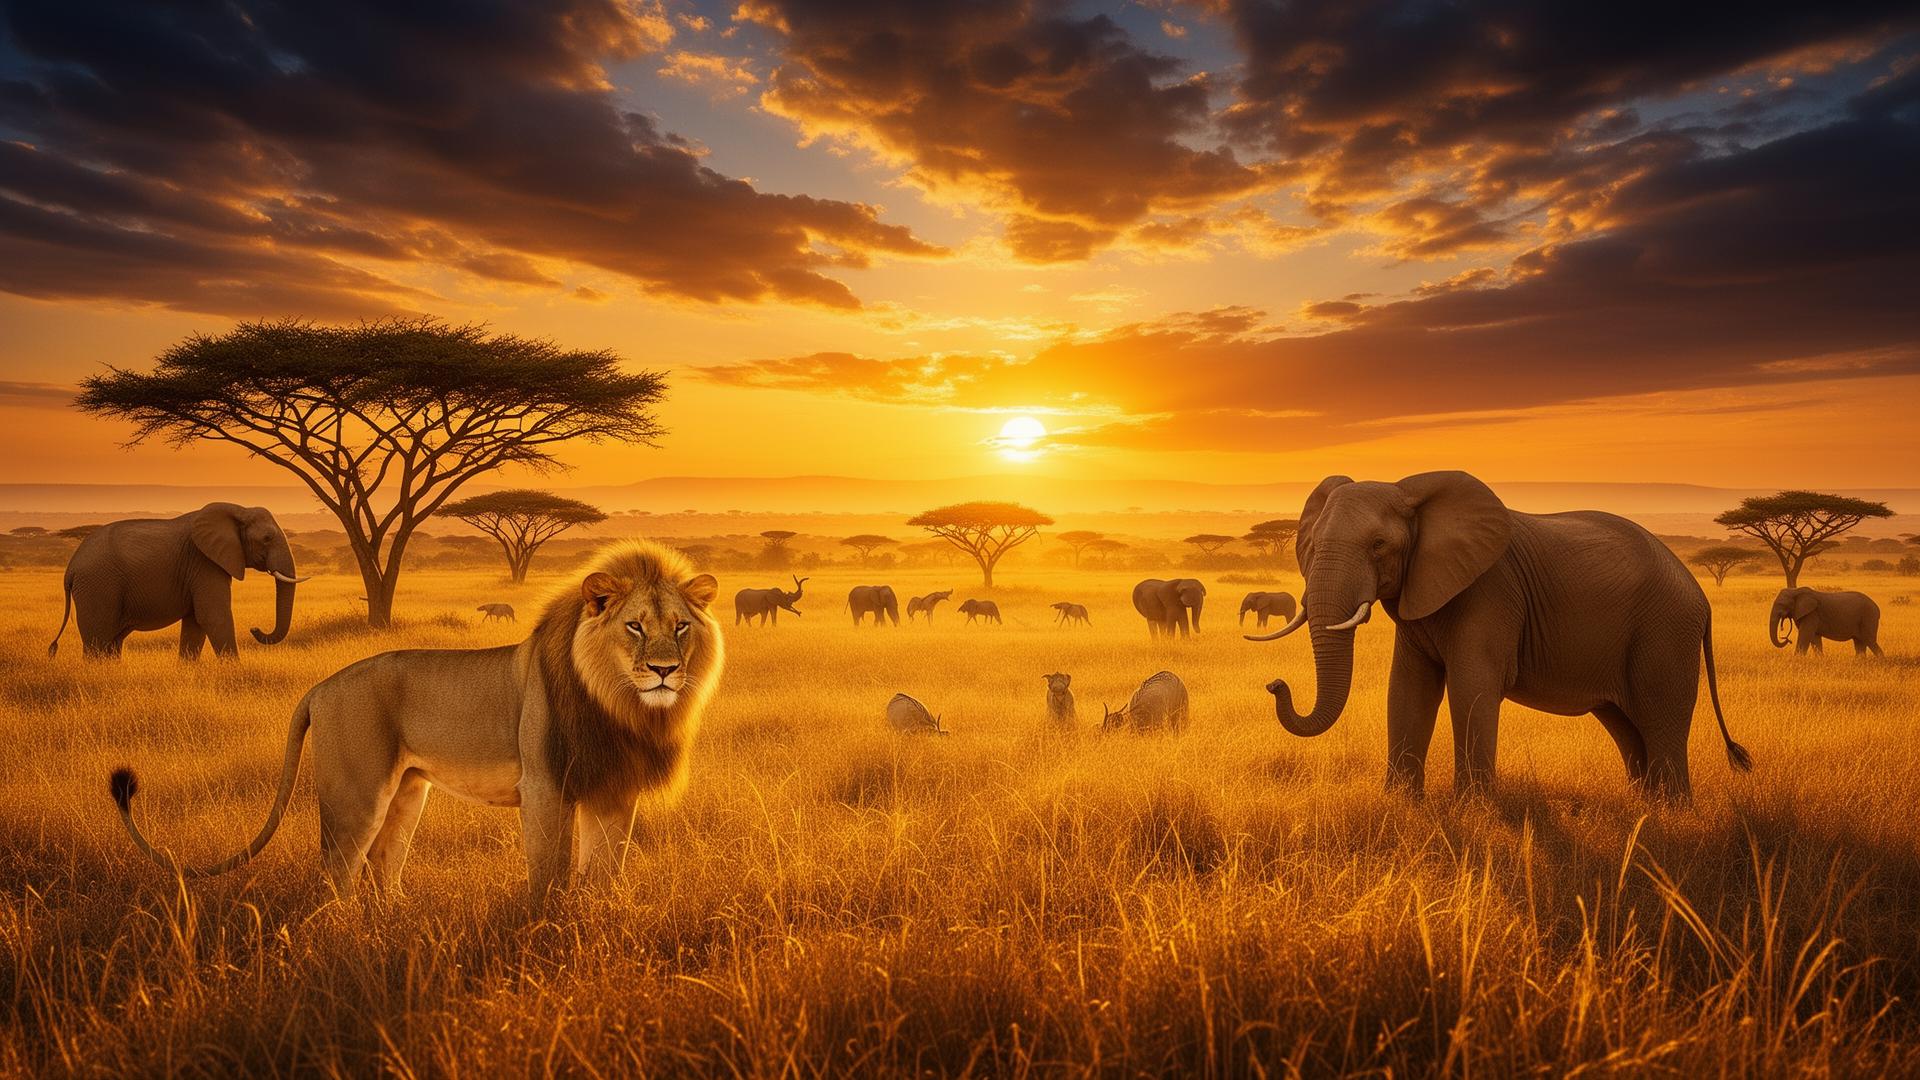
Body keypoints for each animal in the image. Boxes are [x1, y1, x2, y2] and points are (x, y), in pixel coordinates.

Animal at [48, 502, 305, 660]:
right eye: (267, 538)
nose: (254, 628)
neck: (238, 509)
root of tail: (70, 568)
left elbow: (196, 623)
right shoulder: (204, 562)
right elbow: (213, 616)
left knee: (113, 641)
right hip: (97, 585)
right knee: (98, 641)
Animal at [109, 540, 723, 909]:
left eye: (681, 627)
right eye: (635, 627)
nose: (665, 670)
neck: (620, 707)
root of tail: (320, 687)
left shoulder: (614, 788)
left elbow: (606, 869)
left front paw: (597, 918)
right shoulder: (545, 787)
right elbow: (550, 869)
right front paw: (544, 925)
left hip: (407, 790)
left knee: (384, 861)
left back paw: (397, 918)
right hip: (356, 793)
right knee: (338, 871)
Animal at [1247, 471, 1751, 799]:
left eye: (1378, 546)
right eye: (1311, 546)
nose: (1274, 683)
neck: (1412, 495)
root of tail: (1699, 595)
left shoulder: (1490, 591)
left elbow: (1471, 686)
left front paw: (1472, 811)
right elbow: (1408, 688)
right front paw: (1401, 805)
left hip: (1665, 632)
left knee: (1660, 720)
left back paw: (1671, 815)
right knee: (1627, 728)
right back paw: (1646, 811)